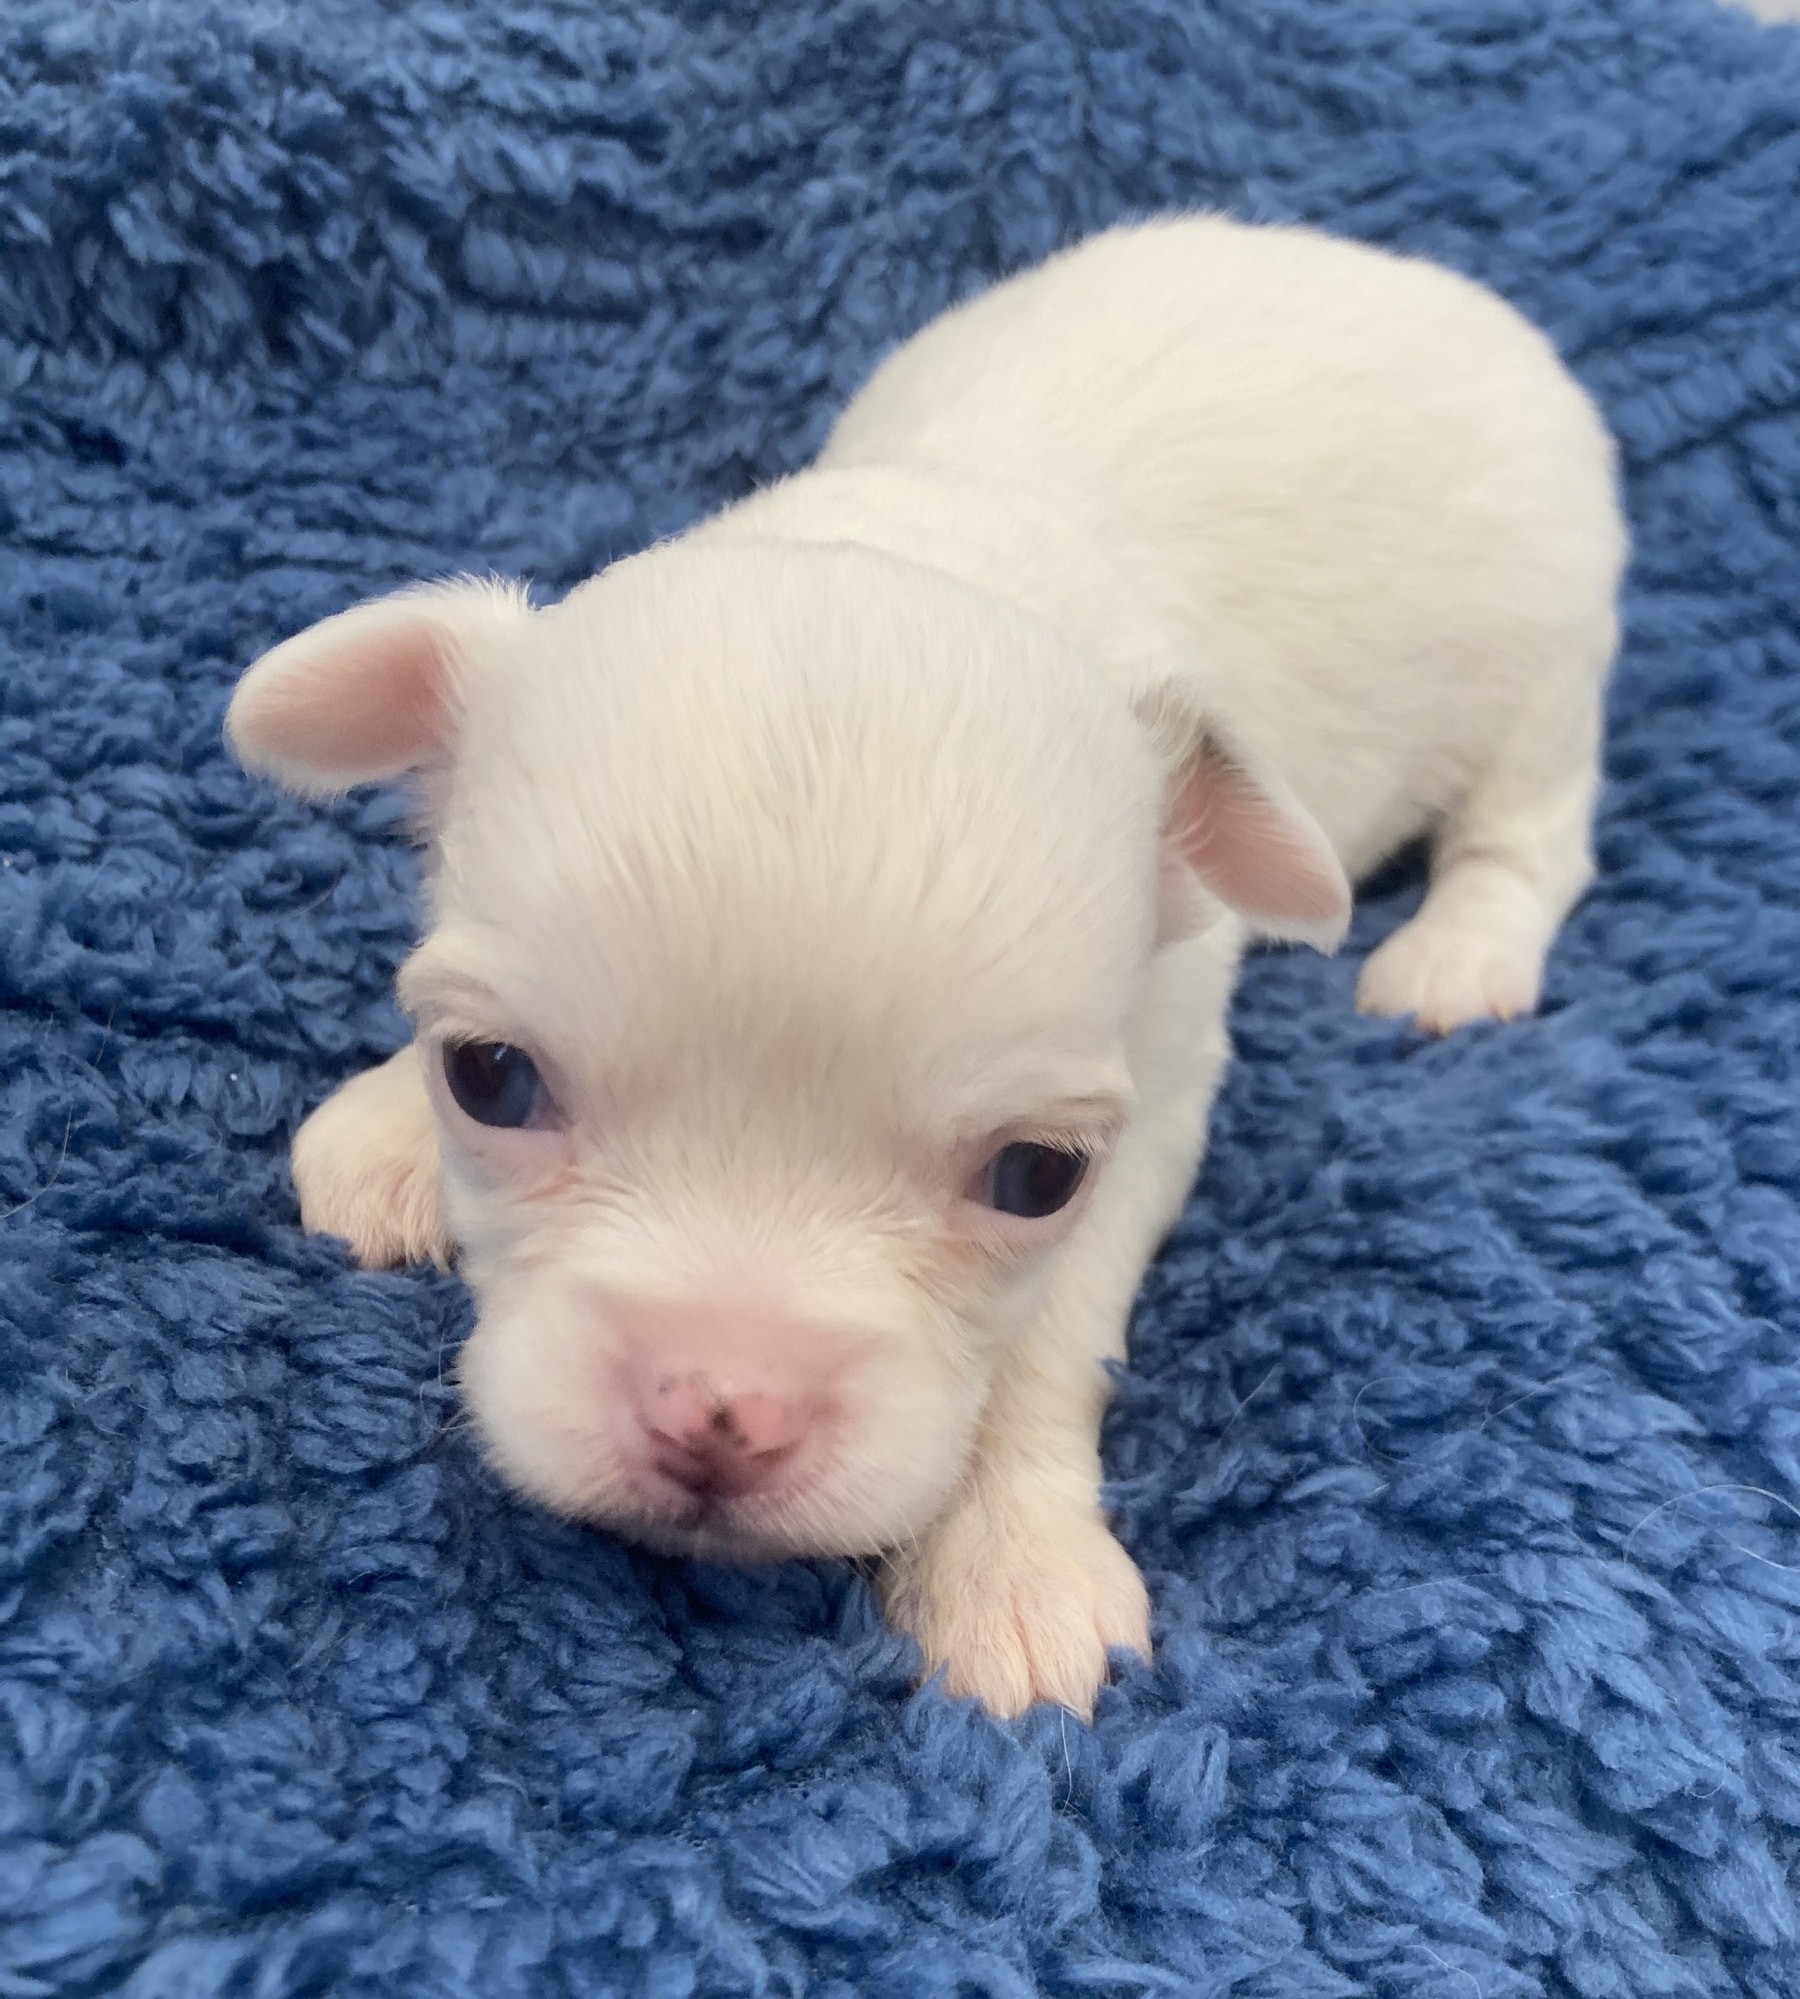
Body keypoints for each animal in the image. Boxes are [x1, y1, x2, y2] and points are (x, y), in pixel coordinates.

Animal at [226, 216, 1625, 1717]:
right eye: (486, 1076)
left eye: (1037, 1177)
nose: (722, 1406)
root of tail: (1396, 271)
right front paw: (385, 1129)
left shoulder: (1160, 1080)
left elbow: (1047, 1334)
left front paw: (1009, 1560)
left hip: (1549, 657)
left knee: (1531, 831)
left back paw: (1458, 955)